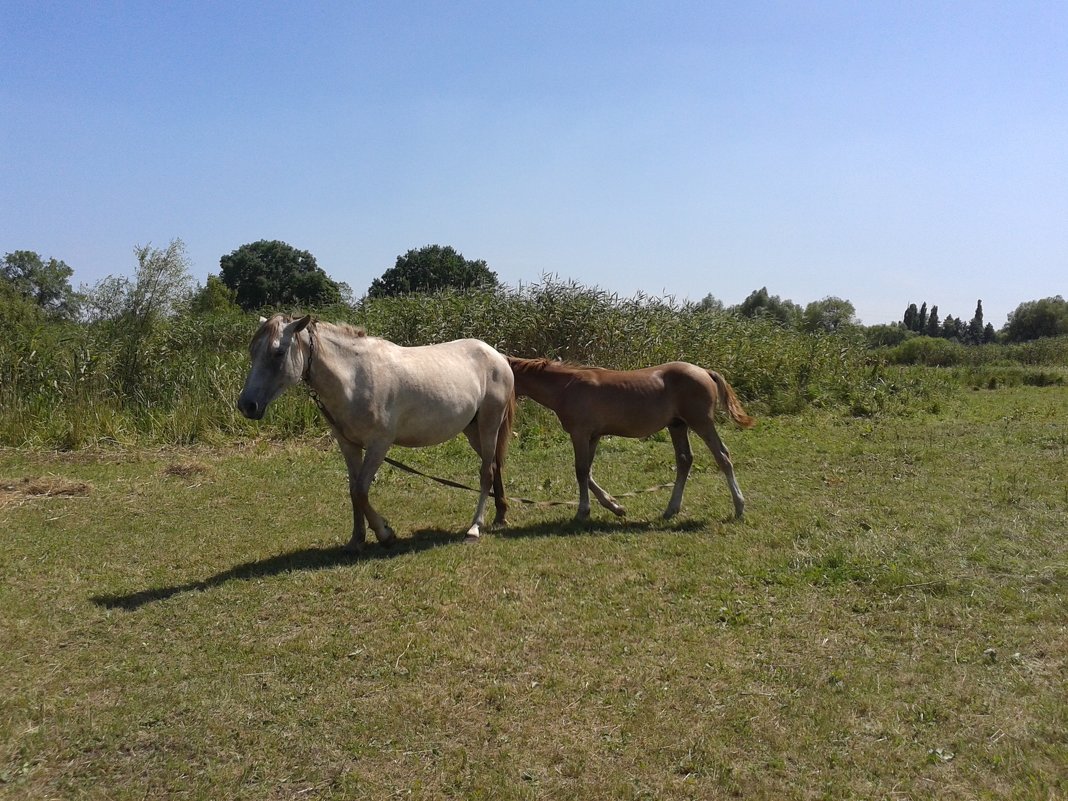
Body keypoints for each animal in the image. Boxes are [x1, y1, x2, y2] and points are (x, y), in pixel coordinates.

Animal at [238, 316, 512, 551]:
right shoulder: (348, 444)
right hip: (472, 430)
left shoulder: (379, 445)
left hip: (489, 425)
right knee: (495, 466)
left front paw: (385, 533)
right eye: (252, 351)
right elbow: (353, 490)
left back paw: (474, 528)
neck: (354, 378)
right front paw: (356, 540)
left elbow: (361, 490)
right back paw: (500, 516)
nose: (246, 405)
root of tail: (497, 356)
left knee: (486, 473)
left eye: (278, 353)